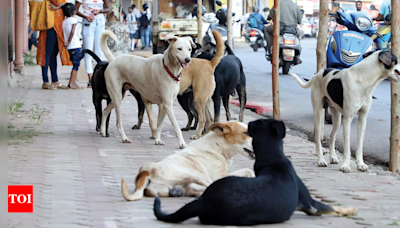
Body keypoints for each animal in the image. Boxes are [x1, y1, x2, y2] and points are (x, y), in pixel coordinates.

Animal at [120, 121, 255, 200]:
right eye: (246, 133)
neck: (217, 147)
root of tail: (144, 173)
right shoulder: (218, 176)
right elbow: (248, 170)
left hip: (180, 188)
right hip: (196, 175)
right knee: (210, 186)